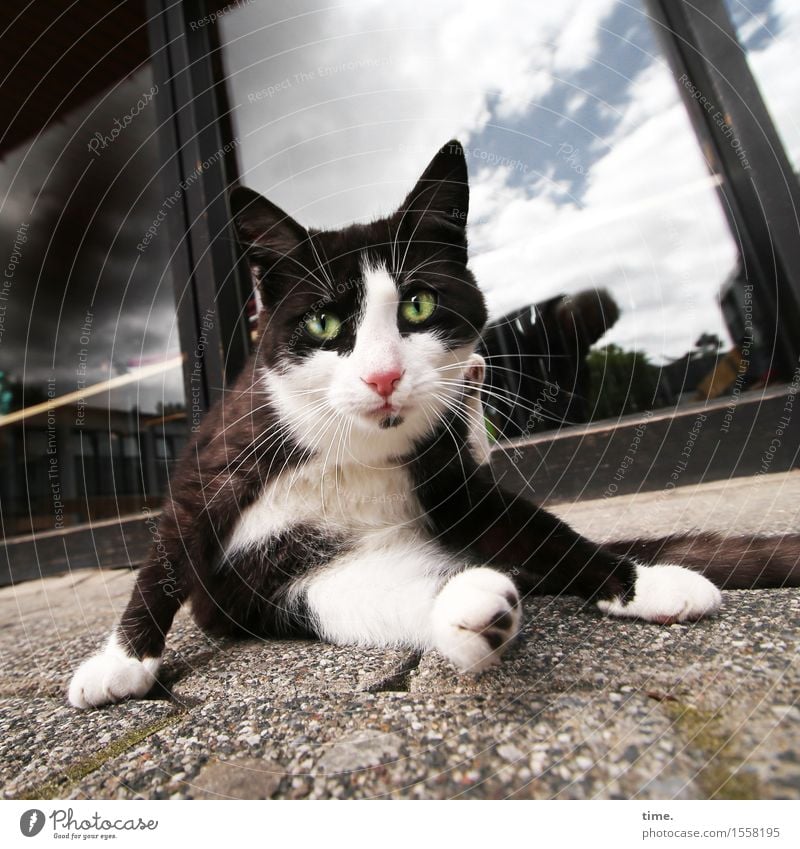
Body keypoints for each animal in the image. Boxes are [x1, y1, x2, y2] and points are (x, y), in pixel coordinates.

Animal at [70, 141, 732, 708]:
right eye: (322, 323)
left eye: (418, 304)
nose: (384, 376)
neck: (354, 447)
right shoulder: (228, 460)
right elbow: (172, 549)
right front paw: (121, 663)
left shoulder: (446, 472)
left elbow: (533, 527)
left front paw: (645, 584)